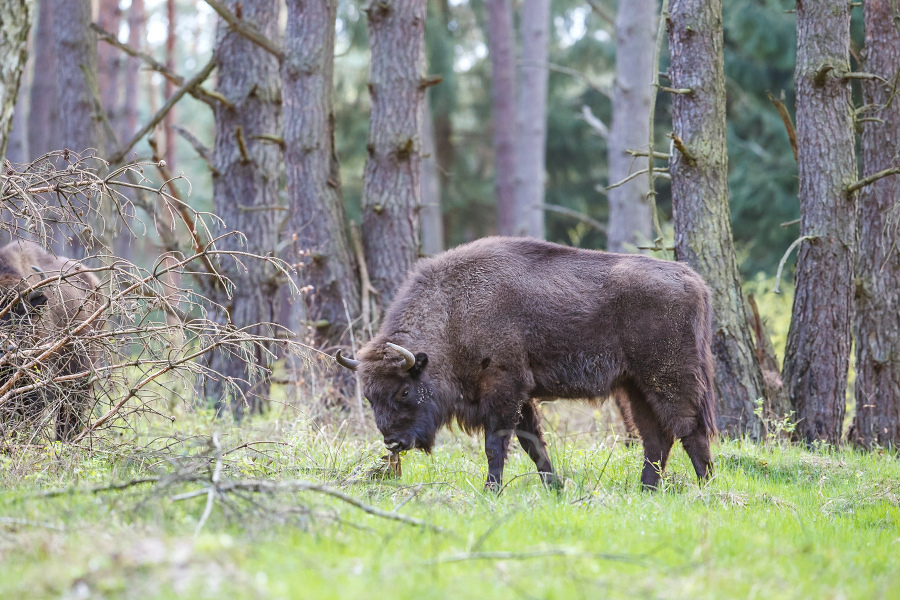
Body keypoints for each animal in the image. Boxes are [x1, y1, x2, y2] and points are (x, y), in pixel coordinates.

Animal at [338, 237, 716, 490]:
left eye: (403, 391)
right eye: (369, 397)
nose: (392, 442)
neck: (452, 312)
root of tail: (693, 280)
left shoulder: (503, 390)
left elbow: (496, 445)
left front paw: (491, 491)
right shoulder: (522, 398)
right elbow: (533, 444)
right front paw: (555, 488)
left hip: (669, 377)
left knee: (690, 429)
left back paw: (706, 487)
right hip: (634, 386)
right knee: (656, 438)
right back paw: (646, 490)